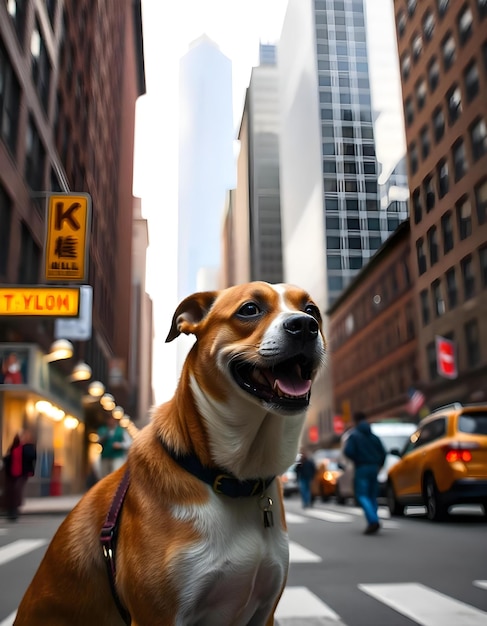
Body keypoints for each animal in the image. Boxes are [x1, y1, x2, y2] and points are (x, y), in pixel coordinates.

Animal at [15, 282, 326, 624]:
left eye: (312, 310)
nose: (304, 326)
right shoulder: (157, 615)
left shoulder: (264, 611)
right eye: (249, 309)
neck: (230, 479)